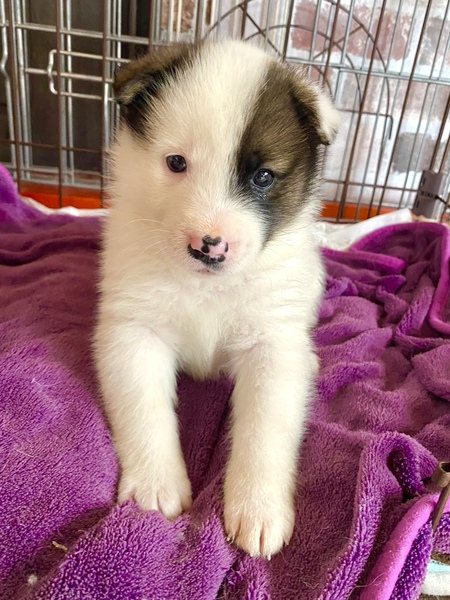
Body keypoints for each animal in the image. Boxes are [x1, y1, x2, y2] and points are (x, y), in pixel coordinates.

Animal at [94, 39, 340, 558]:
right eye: (176, 163)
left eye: (263, 177)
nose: (209, 245)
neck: (206, 285)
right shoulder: (133, 331)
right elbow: (145, 410)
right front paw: (156, 485)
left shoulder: (273, 342)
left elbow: (265, 427)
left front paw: (259, 507)